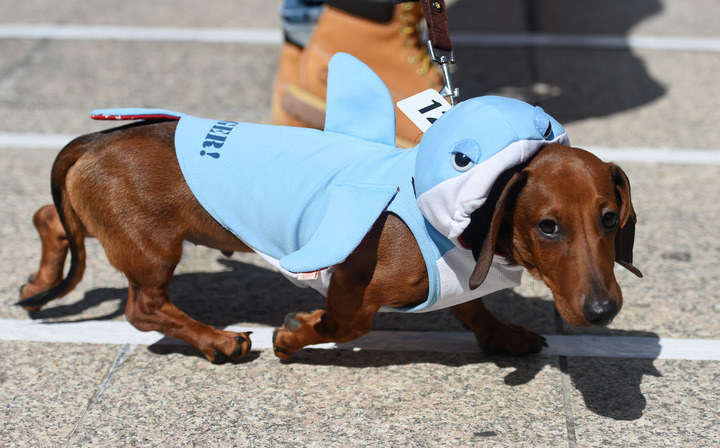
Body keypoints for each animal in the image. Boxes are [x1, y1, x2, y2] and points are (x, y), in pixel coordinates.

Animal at [16, 119, 640, 364]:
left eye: (610, 219)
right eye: (548, 225)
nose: (603, 311)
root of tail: (95, 140)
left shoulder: (460, 276)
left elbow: (474, 308)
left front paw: (502, 334)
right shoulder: (351, 286)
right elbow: (345, 325)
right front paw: (292, 337)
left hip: (101, 224)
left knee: (50, 217)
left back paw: (36, 285)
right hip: (153, 249)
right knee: (144, 308)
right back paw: (219, 340)